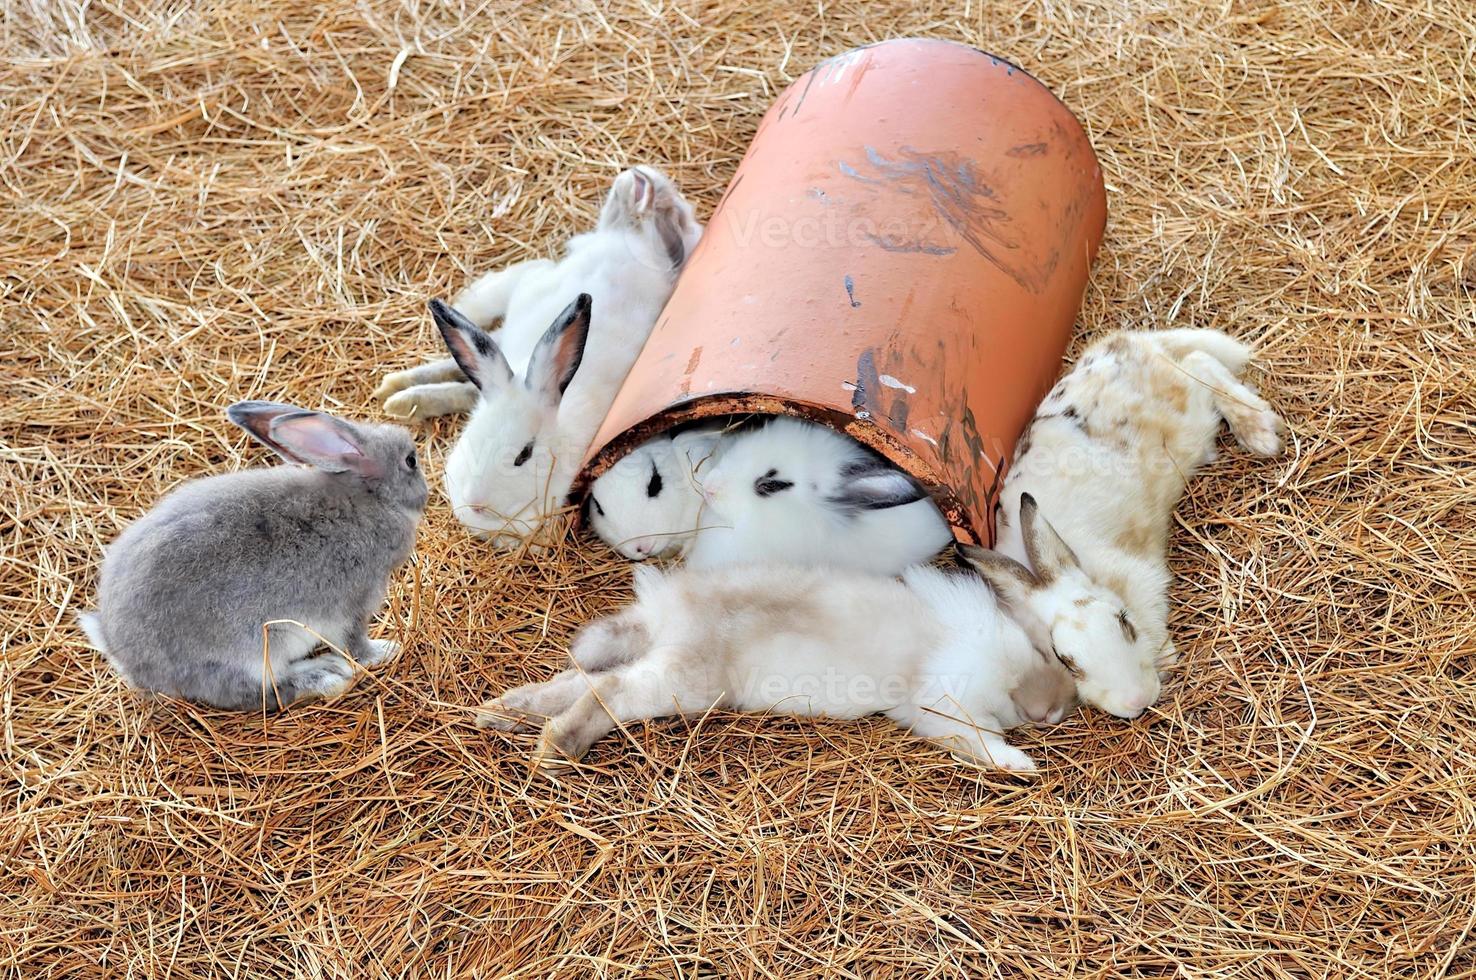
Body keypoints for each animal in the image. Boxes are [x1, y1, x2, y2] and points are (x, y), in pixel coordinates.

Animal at [77, 398, 430, 711]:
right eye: (410, 461)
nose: (425, 493)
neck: (370, 496)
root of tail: (122, 654)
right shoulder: (356, 603)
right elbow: (355, 643)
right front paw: (385, 651)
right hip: (251, 651)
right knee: (260, 693)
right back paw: (325, 676)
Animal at [478, 554, 1080, 767]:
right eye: (1050, 650)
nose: (1058, 708)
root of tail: (665, 613)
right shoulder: (948, 701)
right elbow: (980, 739)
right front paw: (1021, 765)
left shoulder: (928, 711)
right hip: (684, 682)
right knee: (608, 692)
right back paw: (557, 748)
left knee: (576, 679)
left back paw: (501, 712)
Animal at [968, 329, 1281, 720]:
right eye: (1066, 661)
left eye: (1124, 622)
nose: (1138, 700)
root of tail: (1129, 343)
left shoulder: (1140, 577)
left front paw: (1166, 659)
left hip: (1188, 412)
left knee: (1200, 365)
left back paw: (1259, 432)